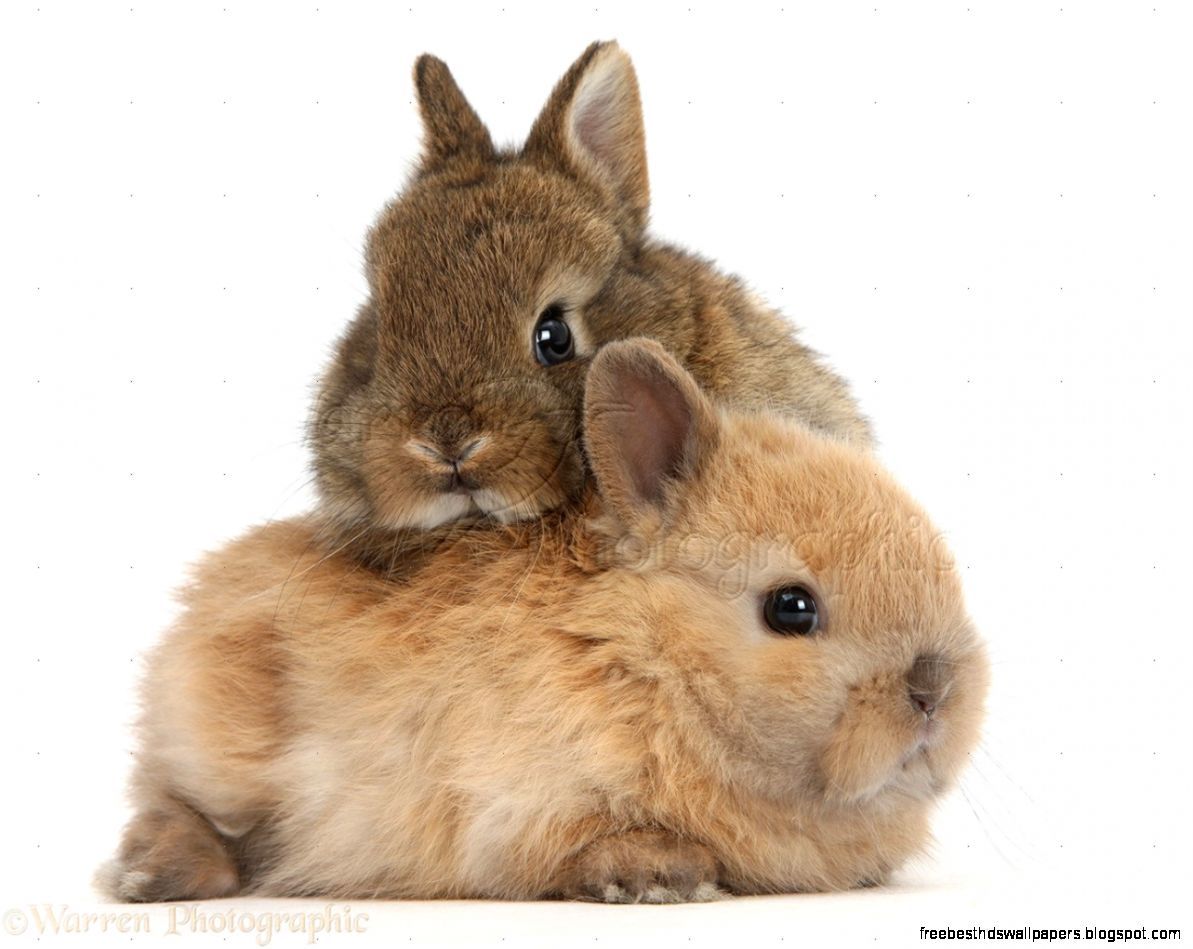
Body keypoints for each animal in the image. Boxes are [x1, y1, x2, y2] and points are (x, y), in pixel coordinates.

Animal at [99, 339, 987, 903]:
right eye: (789, 607)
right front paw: (657, 873)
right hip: (221, 741)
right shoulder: (509, 804)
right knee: (173, 797)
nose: (932, 690)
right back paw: (152, 875)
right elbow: (571, 842)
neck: (647, 661)